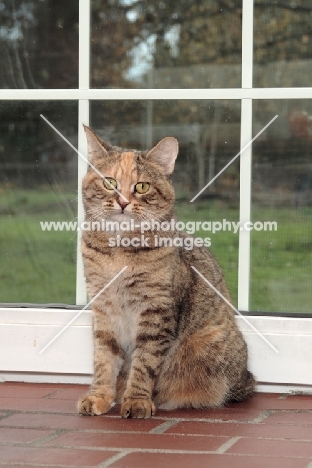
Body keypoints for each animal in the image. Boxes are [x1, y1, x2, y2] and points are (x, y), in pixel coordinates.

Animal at [77, 126, 255, 418]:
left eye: (142, 186)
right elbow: (103, 357)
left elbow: (144, 362)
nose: (123, 202)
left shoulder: (156, 311)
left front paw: (137, 400)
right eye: (110, 183)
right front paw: (100, 396)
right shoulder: (102, 308)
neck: (119, 251)